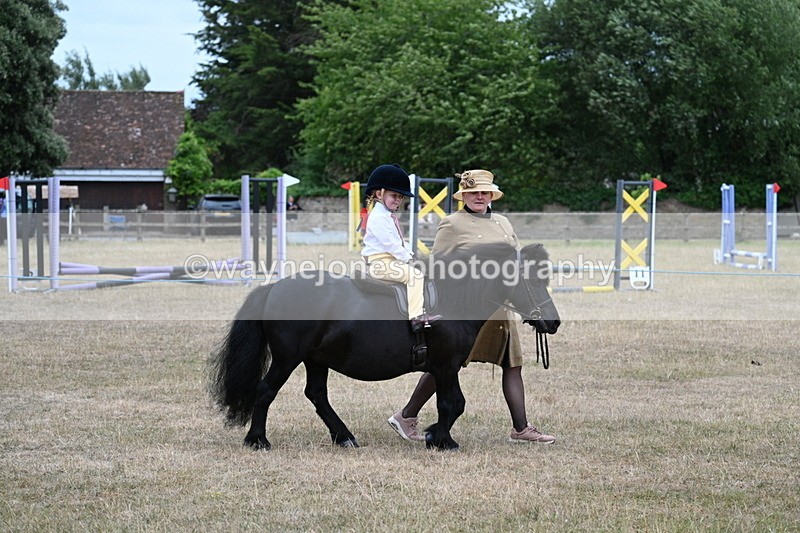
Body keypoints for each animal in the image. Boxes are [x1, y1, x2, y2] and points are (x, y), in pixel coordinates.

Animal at [209, 242, 560, 451]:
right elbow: (453, 404)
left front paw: (435, 435)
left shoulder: (443, 368)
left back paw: (344, 437)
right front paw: (440, 439)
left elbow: (453, 404)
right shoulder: (446, 366)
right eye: (534, 280)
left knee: (317, 395)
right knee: (266, 391)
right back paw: (257, 440)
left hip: (315, 359)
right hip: (287, 359)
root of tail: (273, 288)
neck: (453, 298)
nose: (553, 323)